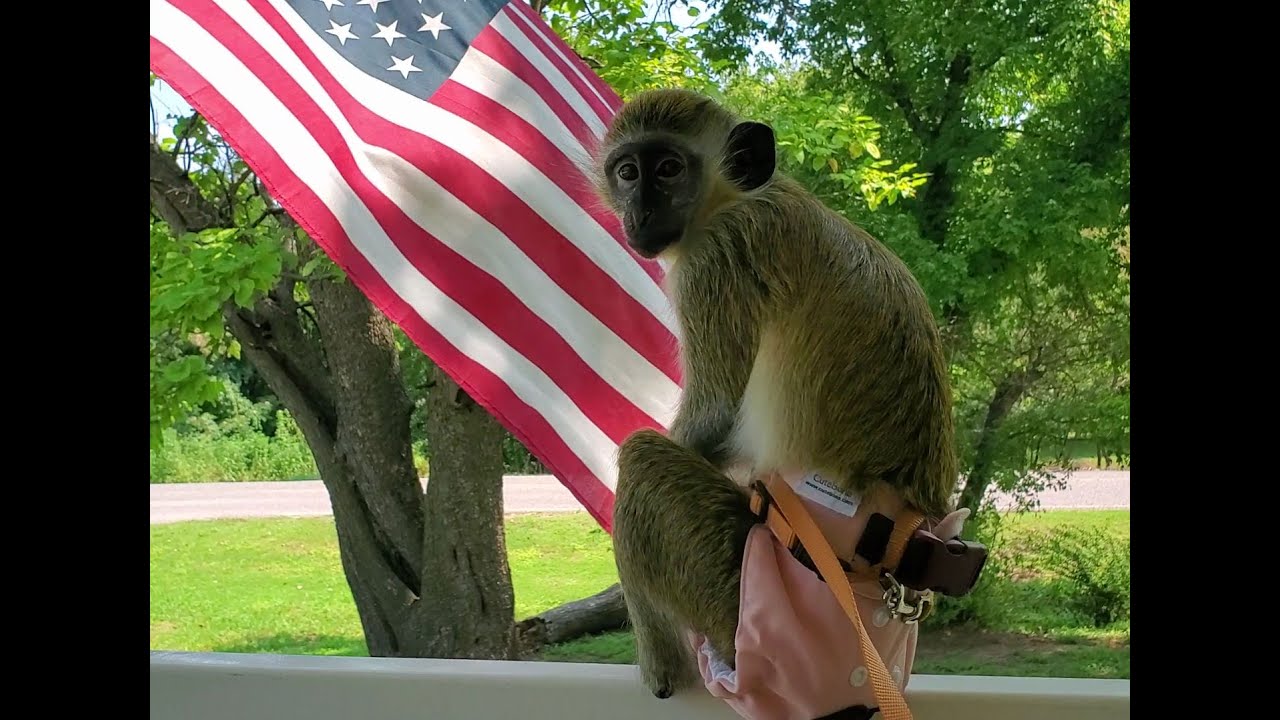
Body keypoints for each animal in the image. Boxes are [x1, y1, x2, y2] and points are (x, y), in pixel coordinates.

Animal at [593, 88, 960, 702]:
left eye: (668, 169)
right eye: (626, 172)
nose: (637, 215)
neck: (737, 196)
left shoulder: (718, 260)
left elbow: (715, 415)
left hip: (743, 592)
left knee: (644, 458)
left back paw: (664, 669)